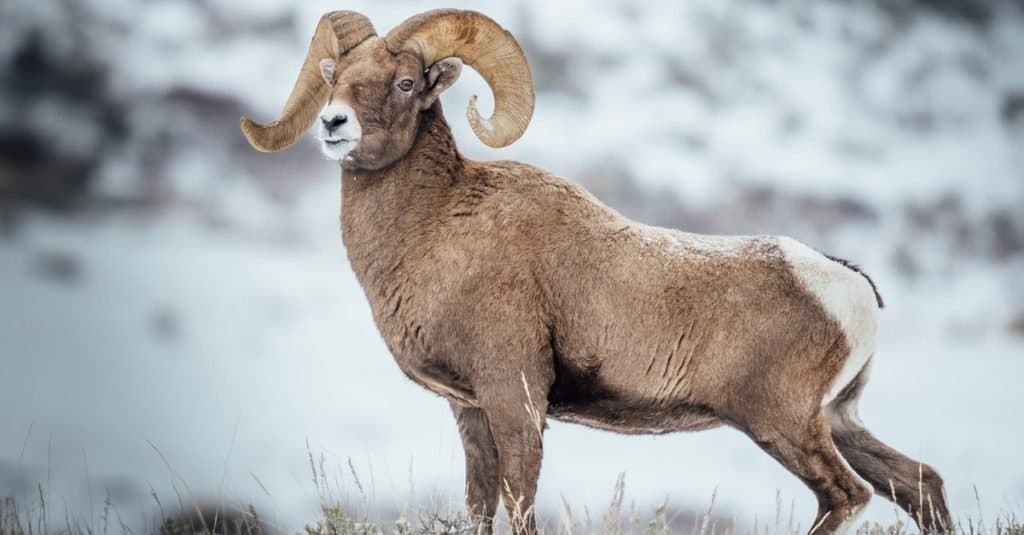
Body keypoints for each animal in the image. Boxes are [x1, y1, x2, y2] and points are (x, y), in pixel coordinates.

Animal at [239, 9, 950, 532]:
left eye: (406, 83)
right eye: (336, 75)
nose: (333, 124)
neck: (436, 227)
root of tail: (851, 288)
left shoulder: (516, 401)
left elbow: (520, 503)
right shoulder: (470, 413)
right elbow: (480, 506)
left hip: (783, 423)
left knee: (847, 497)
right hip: (838, 421)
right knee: (920, 483)